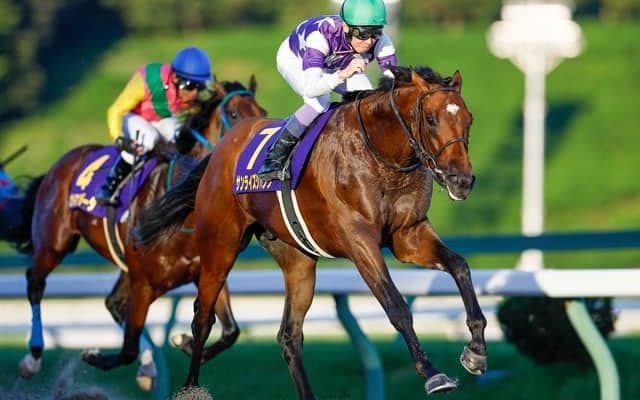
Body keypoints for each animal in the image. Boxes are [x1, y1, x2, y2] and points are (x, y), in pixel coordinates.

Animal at [12, 77, 267, 391]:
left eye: (262, 110)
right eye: (233, 113)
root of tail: (62, 162)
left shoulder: (203, 271)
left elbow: (230, 331)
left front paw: (182, 342)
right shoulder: (144, 282)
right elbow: (127, 349)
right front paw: (94, 356)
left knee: (113, 303)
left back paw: (147, 367)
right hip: (54, 243)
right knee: (35, 283)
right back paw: (32, 358)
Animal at [135, 65, 488, 398]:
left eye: (468, 119)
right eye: (431, 119)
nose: (461, 180)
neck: (380, 153)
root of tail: (222, 148)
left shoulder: (408, 235)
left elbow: (459, 266)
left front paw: (476, 351)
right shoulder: (360, 242)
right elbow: (397, 306)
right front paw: (432, 373)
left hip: (297, 260)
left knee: (288, 335)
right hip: (220, 247)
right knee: (203, 318)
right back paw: (189, 387)